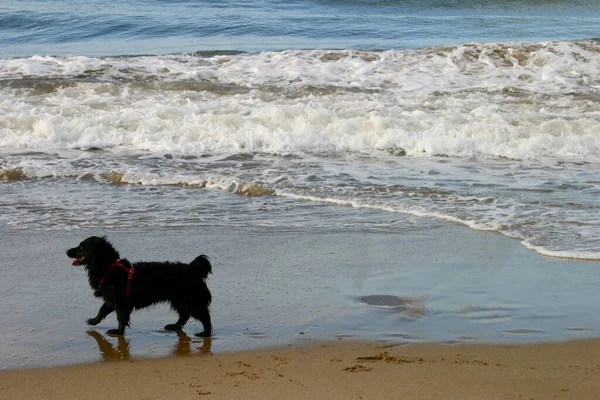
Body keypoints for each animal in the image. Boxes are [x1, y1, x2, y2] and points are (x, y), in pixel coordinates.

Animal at [67, 236, 212, 336]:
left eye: (82, 246)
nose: (67, 251)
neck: (108, 267)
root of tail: (192, 269)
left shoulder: (120, 302)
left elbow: (121, 318)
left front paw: (118, 332)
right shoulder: (111, 299)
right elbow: (102, 310)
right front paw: (93, 321)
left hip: (192, 300)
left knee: (204, 317)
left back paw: (205, 333)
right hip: (179, 299)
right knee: (184, 315)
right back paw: (174, 326)